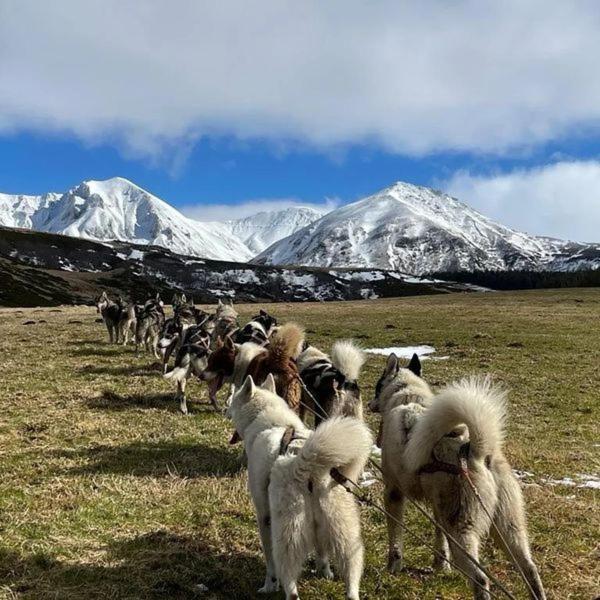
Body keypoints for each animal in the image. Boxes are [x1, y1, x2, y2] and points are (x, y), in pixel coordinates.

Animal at [227, 372, 372, 596]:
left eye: (233, 399)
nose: (225, 409)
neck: (271, 423)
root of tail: (308, 466)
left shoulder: (264, 517)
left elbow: (270, 562)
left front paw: (269, 586)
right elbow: (322, 554)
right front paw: (325, 572)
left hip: (287, 541)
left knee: (291, 587)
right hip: (347, 541)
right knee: (351, 585)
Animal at [368, 352, 548, 600]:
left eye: (377, 387)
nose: (369, 403)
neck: (408, 396)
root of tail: (476, 452)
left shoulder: (393, 493)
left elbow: (395, 539)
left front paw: (393, 567)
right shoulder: (437, 507)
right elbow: (439, 537)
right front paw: (441, 565)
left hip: (463, 530)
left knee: (481, 578)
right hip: (508, 528)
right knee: (529, 567)